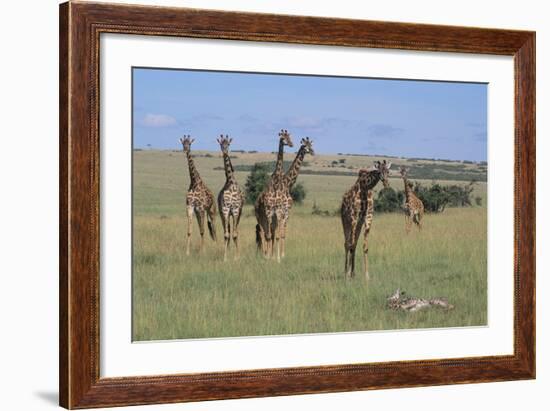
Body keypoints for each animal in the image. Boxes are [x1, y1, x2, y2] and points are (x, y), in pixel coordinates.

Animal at [256, 130, 296, 262]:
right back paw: (266, 254)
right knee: (264, 233)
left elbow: (277, 235)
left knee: (271, 233)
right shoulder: (270, 212)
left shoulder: (278, 212)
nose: (291, 144)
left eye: (290, 136)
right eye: (283, 138)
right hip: (261, 217)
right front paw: (270, 257)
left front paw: (277, 258)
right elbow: (270, 235)